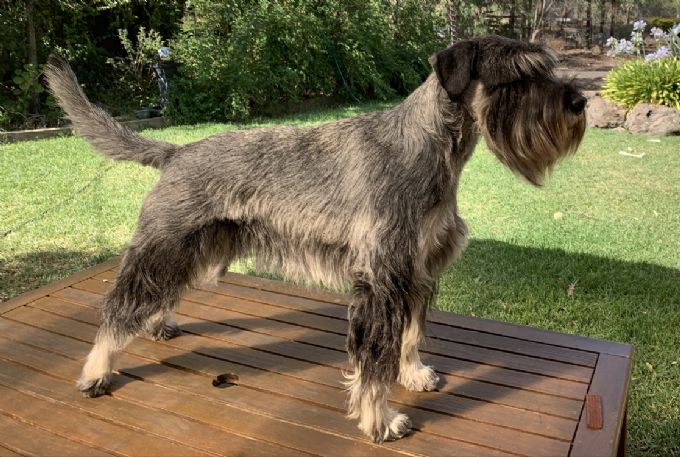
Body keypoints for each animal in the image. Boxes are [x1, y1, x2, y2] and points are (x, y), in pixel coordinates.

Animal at [45, 35, 586, 443]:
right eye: (516, 76)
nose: (579, 101)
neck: (428, 146)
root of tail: (176, 152)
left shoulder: (418, 271)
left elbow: (410, 336)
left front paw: (413, 374)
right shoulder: (383, 279)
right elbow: (375, 360)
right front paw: (379, 420)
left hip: (198, 249)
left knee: (158, 293)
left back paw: (158, 326)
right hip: (164, 244)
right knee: (119, 306)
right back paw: (96, 371)